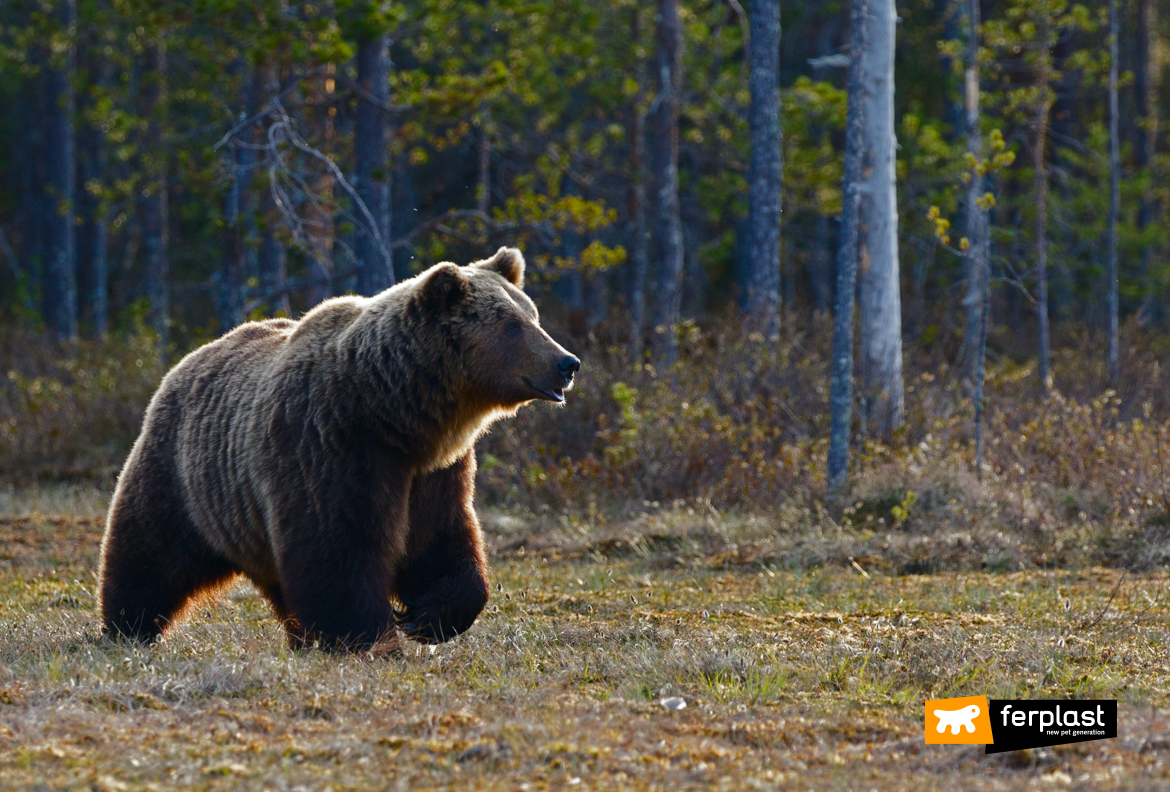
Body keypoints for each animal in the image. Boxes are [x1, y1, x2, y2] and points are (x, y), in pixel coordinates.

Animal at [100, 246, 580, 650]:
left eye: (533, 316)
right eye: (512, 325)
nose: (567, 363)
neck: (395, 414)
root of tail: (187, 360)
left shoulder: (435, 471)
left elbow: (442, 540)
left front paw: (427, 616)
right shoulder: (330, 446)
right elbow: (338, 548)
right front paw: (370, 636)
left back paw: (299, 637)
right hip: (185, 475)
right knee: (150, 552)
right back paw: (126, 627)